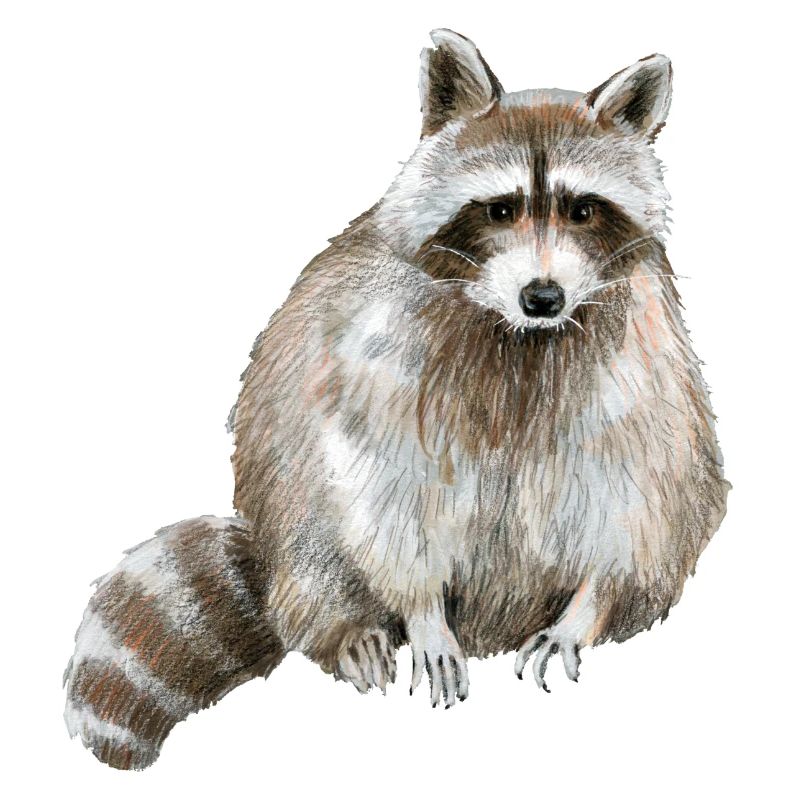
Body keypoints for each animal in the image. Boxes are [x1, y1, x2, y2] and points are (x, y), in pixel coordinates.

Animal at [65, 29, 729, 770]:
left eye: (583, 209)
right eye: (500, 209)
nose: (544, 296)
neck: (521, 336)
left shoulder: (641, 348)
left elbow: (647, 484)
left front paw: (591, 604)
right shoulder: (386, 343)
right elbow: (385, 484)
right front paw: (422, 610)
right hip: (289, 509)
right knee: (315, 521)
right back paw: (346, 622)